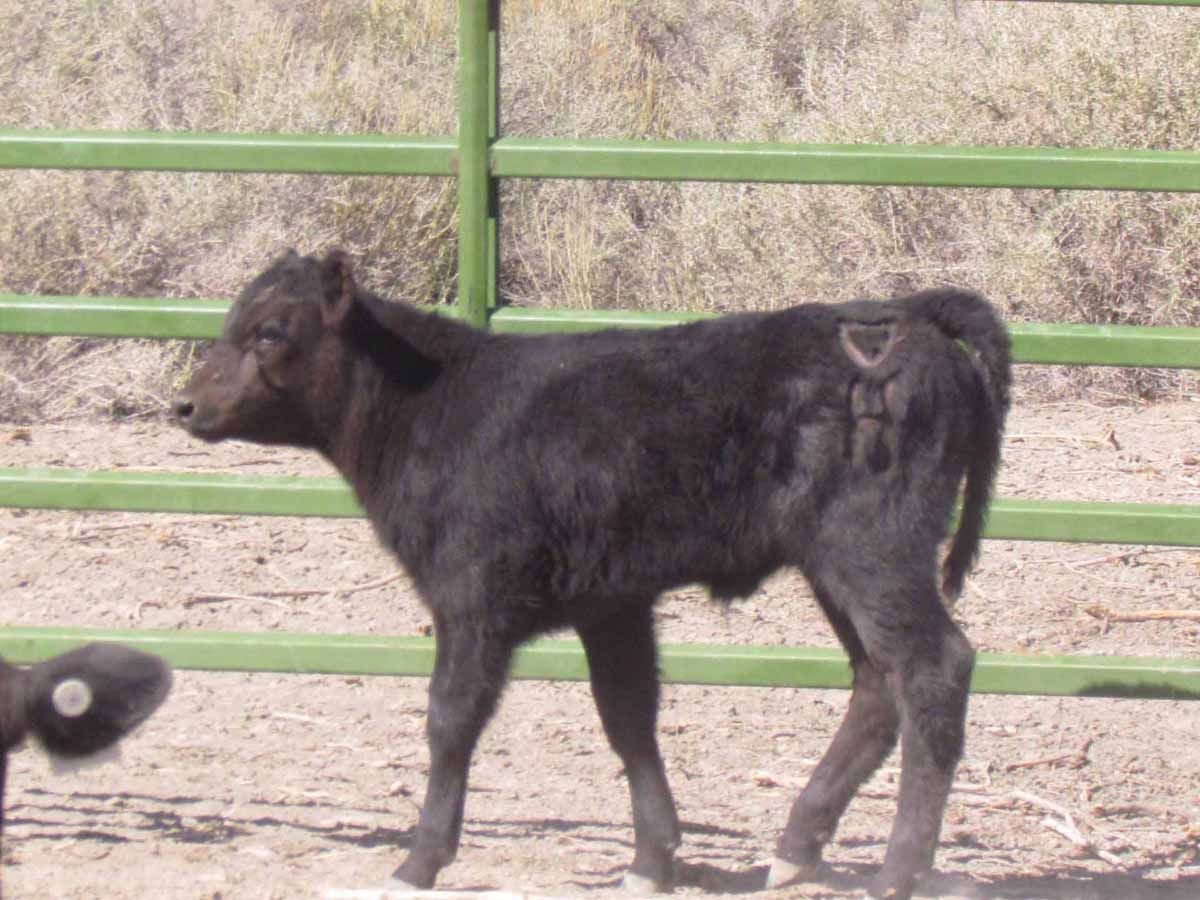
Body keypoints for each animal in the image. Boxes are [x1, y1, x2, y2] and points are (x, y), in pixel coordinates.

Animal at [173, 249, 1010, 900]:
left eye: (271, 331)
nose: (183, 403)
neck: (434, 405)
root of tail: (903, 315)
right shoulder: (612, 604)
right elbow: (628, 715)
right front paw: (652, 858)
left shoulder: (472, 598)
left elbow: (450, 720)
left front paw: (419, 861)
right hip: (835, 564)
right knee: (876, 683)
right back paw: (796, 850)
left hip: (874, 550)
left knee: (932, 668)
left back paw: (897, 872)